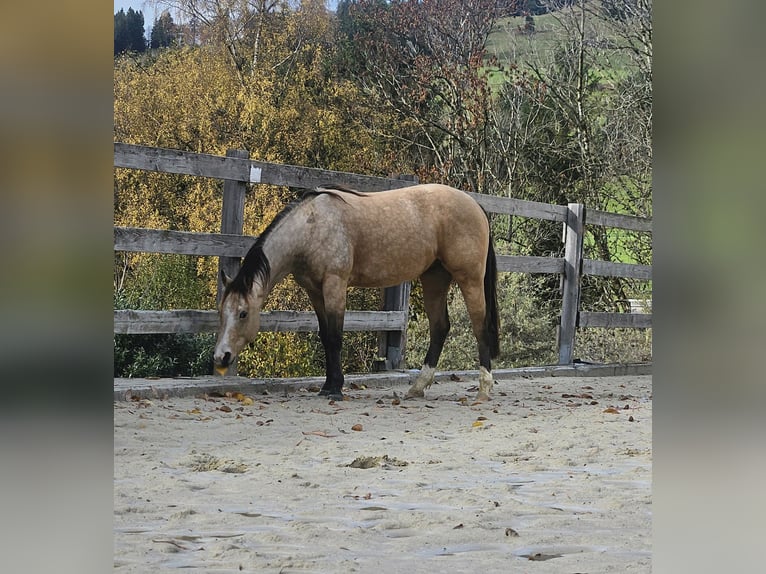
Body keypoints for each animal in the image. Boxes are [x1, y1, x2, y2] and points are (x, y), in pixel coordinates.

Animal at [214, 183, 499, 401]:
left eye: (243, 313)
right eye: (221, 313)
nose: (221, 357)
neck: (312, 226)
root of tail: (475, 204)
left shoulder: (335, 285)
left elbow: (335, 336)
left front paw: (336, 389)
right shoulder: (315, 292)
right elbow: (326, 337)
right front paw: (327, 386)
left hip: (470, 279)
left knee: (479, 326)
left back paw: (484, 389)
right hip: (434, 279)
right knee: (440, 328)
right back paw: (417, 388)